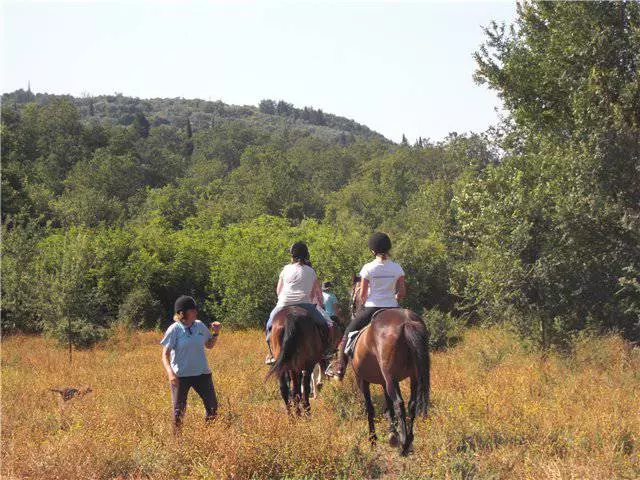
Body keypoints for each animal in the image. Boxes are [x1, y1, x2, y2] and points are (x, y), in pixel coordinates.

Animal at [344, 276, 430, 456]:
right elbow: (388, 405)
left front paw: (373, 440)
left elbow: (370, 408)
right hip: (413, 377)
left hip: (390, 378)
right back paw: (409, 439)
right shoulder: (385, 381)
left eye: (352, 295)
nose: (351, 310)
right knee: (411, 404)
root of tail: (407, 322)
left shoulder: (362, 380)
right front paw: (393, 433)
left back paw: (404, 445)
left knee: (399, 403)